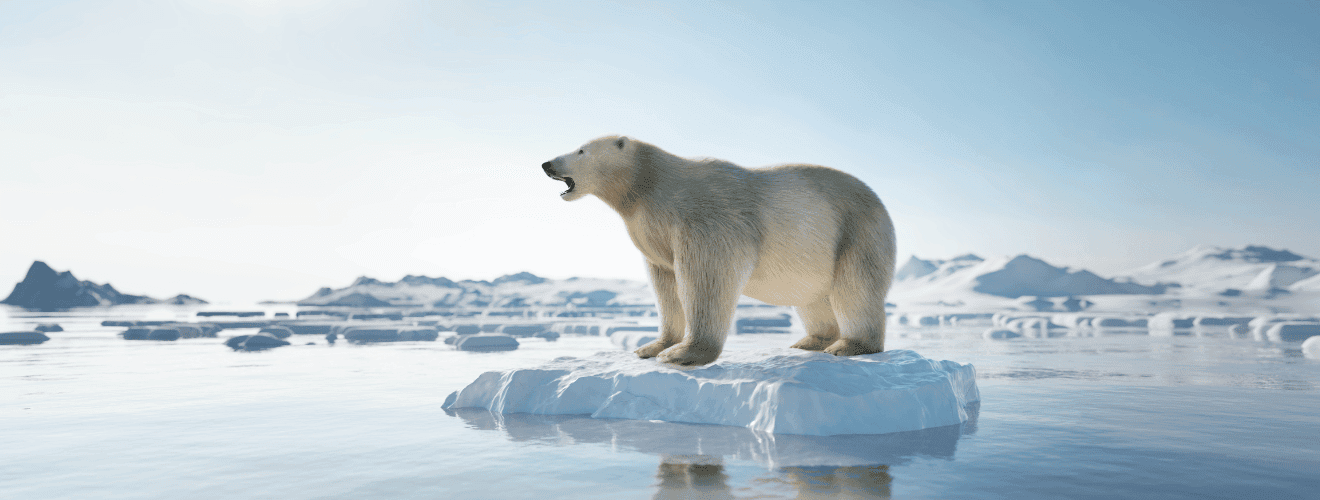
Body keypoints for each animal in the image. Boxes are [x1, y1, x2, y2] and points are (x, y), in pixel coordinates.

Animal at [538, 135, 897, 366]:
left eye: (581, 150)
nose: (547, 163)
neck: (649, 185)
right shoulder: (653, 233)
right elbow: (665, 286)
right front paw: (652, 346)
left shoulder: (705, 217)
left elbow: (707, 276)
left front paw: (683, 354)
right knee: (813, 298)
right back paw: (811, 341)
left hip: (856, 232)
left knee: (855, 288)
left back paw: (849, 345)